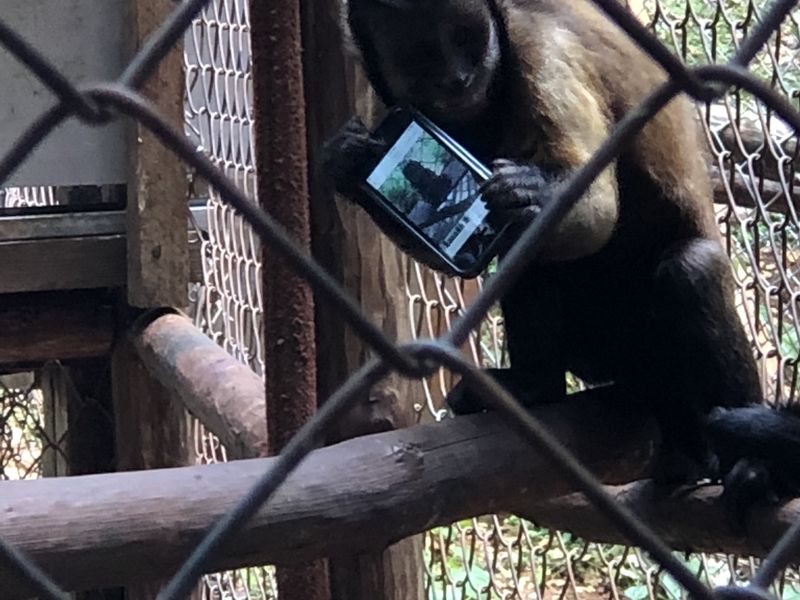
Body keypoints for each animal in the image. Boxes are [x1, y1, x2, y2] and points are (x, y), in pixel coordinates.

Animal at [318, 0, 800, 520]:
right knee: (530, 257)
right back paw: (535, 386)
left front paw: (527, 197)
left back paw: (751, 466)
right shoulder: (388, 105)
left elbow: (597, 214)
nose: (459, 79)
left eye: (465, 38)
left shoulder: (542, 50)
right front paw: (347, 163)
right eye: (422, 55)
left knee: (692, 270)